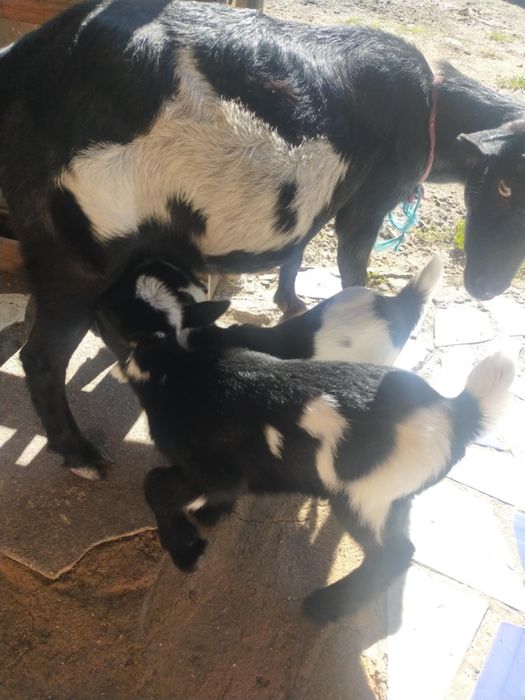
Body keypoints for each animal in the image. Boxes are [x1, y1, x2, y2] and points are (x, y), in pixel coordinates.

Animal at [1, 1, 523, 476]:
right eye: (504, 185)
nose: (485, 288)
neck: (432, 107)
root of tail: (22, 67)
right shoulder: (368, 202)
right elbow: (352, 262)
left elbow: (299, 246)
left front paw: (289, 301)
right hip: (79, 246)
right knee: (42, 357)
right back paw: (83, 457)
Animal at [97, 269, 514, 623]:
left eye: (108, 311)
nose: (94, 297)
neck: (175, 365)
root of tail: (457, 412)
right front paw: (213, 515)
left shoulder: (208, 468)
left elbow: (156, 485)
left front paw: (186, 551)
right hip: (392, 494)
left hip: (363, 495)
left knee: (395, 553)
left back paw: (328, 606)